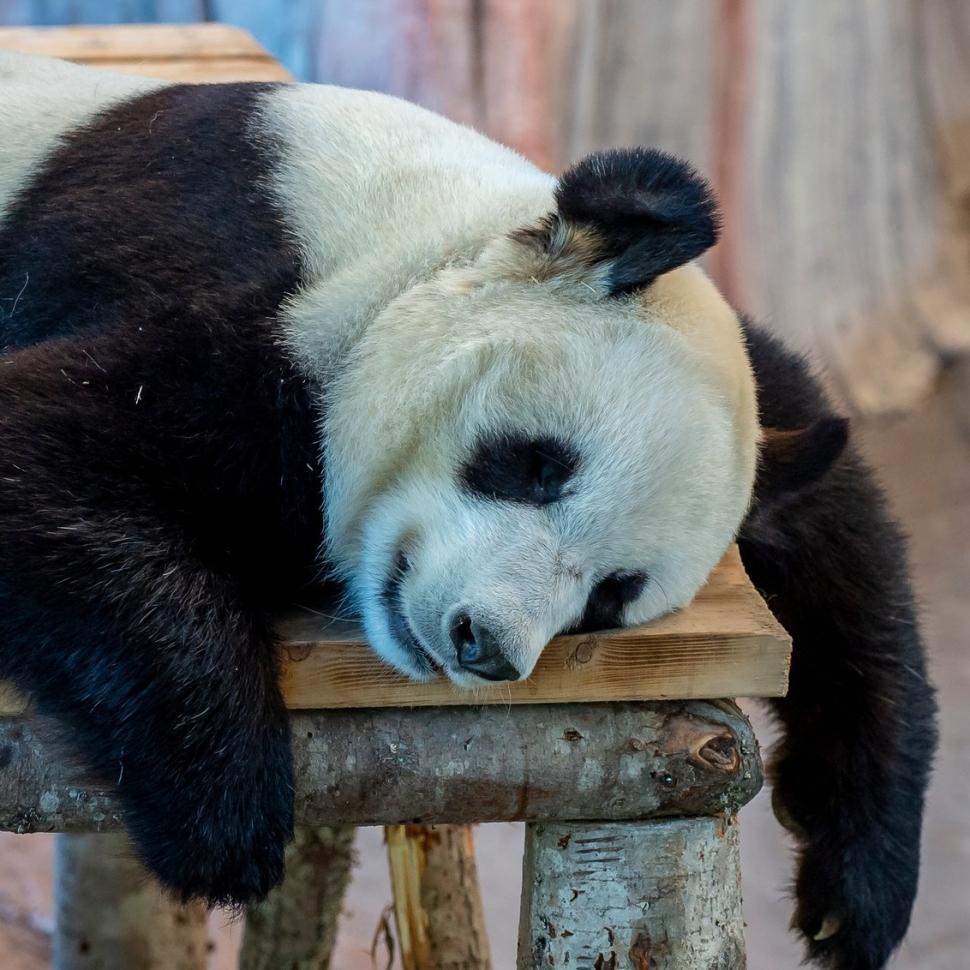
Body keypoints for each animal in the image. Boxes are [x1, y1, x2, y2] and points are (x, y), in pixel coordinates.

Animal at [0, 52, 936, 970]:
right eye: (537, 465)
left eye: (609, 595)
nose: (482, 643)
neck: (416, 241)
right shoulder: (241, 275)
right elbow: (38, 446)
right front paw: (225, 820)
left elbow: (840, 531)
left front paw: (856, 894)